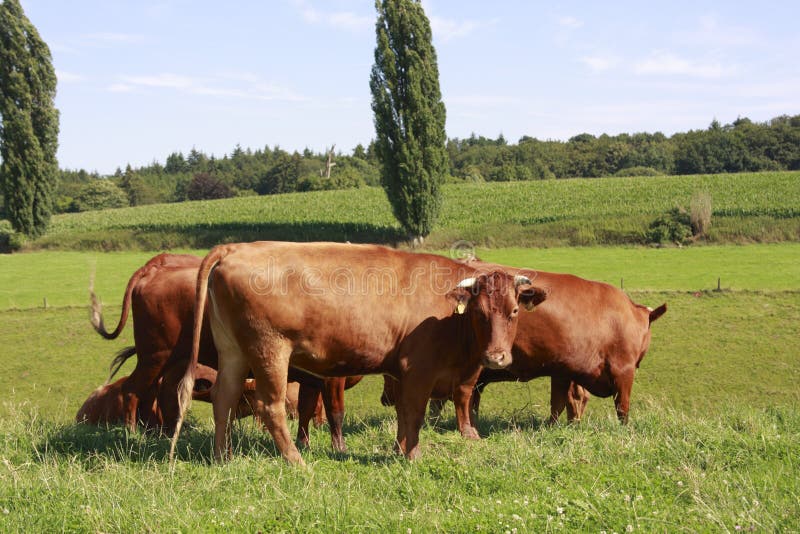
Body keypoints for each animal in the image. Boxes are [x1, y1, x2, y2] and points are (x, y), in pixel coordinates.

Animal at [91, 253, 358, 451]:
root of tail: (153, 270)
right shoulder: (332, 378)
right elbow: (335, 413)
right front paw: (339, 448)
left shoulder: (313, 379)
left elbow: (306, 409)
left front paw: (304, 443)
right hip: (154, 356)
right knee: (132, 390)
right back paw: (132, 432)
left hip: (173, 361)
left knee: (159, 395)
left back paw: (155, 433)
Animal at [170, 241, 547, 464]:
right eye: (480, 314)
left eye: (514, 311)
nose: (497, 358)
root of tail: (236, 247)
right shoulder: (420, 368)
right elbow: (415, 413)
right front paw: (412, 456)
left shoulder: (400, 371)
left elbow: (403, 414)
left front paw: (399, 449)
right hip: (269, 349)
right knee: (269, 406)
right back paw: (296, 461)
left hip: (232, 350)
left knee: (224, 396)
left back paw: (223, 457)